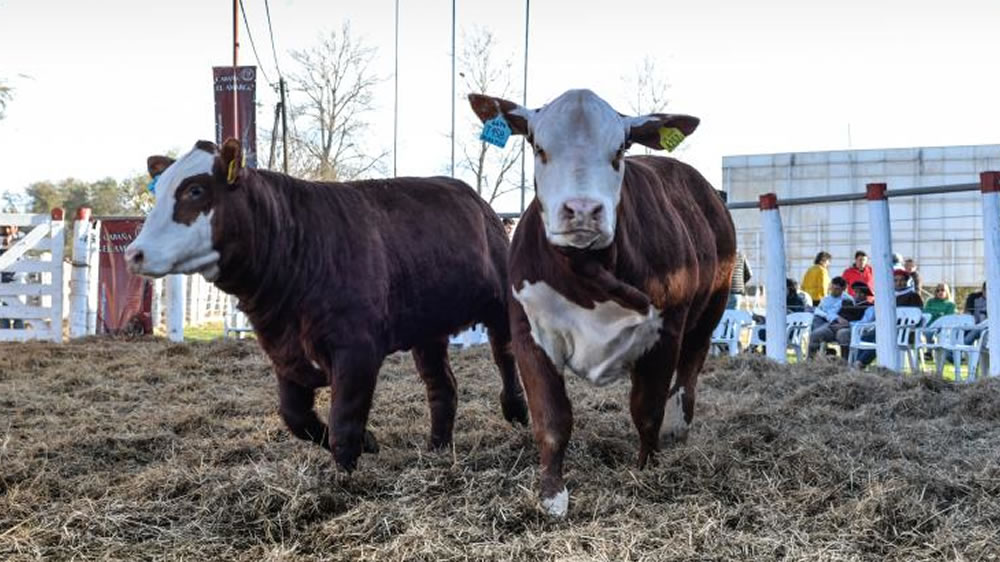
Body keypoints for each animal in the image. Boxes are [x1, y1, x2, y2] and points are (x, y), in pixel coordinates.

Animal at [466, 88, 736, 516]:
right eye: (538, 146)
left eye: (621, 148)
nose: (582, 210)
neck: (587, 268)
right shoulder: (529, 331)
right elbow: (552, 418)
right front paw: (552, 494)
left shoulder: (665, 331)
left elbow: (647, 410)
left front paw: (647, 469)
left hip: (711, 308)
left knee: (690, 370)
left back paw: (678, 425)